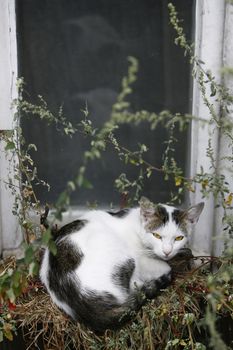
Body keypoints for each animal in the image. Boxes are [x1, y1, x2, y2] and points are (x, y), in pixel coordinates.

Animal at [40, 197, 204, 330]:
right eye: (156, 235)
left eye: (179, 238)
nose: (167, 252)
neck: (137, 224)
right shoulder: (142, 260)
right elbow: (165, 266)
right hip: (126, 258)